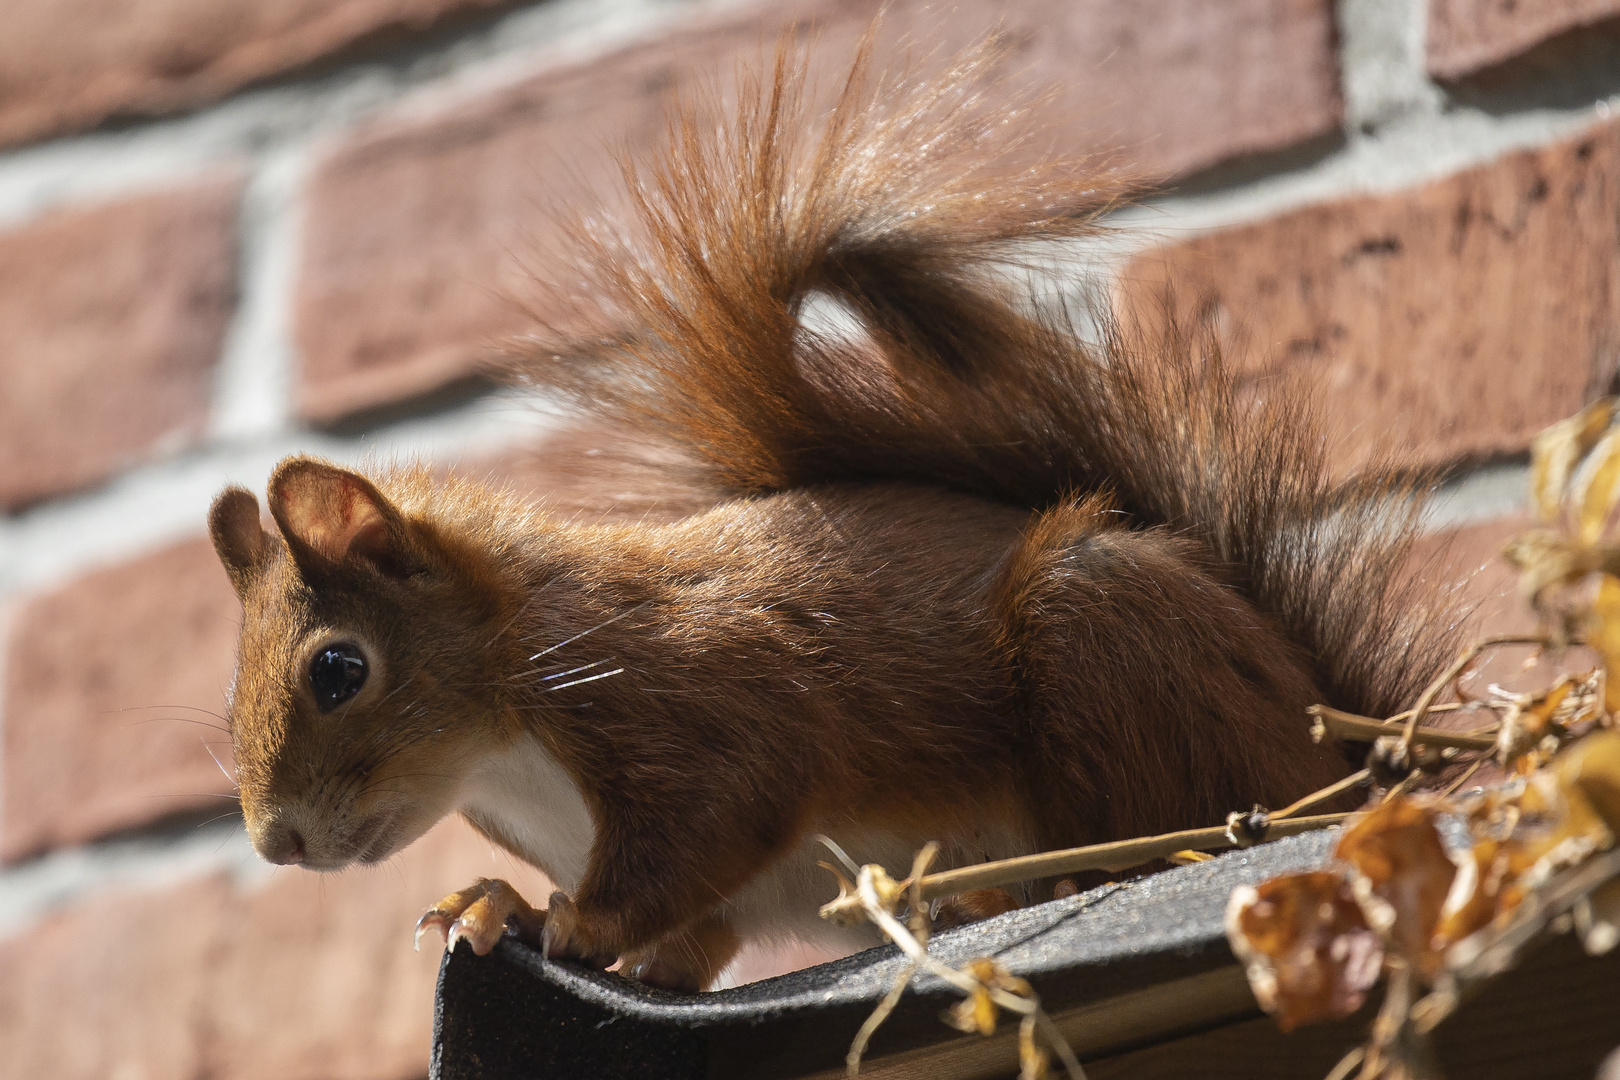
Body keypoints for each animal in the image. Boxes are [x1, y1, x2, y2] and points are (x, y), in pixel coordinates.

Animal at [202, 42, 1458, 990]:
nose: (277, 842)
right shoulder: (703, 889)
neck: (503, 729)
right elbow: (685, 942)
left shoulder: (692, 706)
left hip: (1105, 632)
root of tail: (1341, 735)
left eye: (338, 671)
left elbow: (711, 824)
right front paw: (496, 902)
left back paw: (1050, 877)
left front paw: (570, 921)